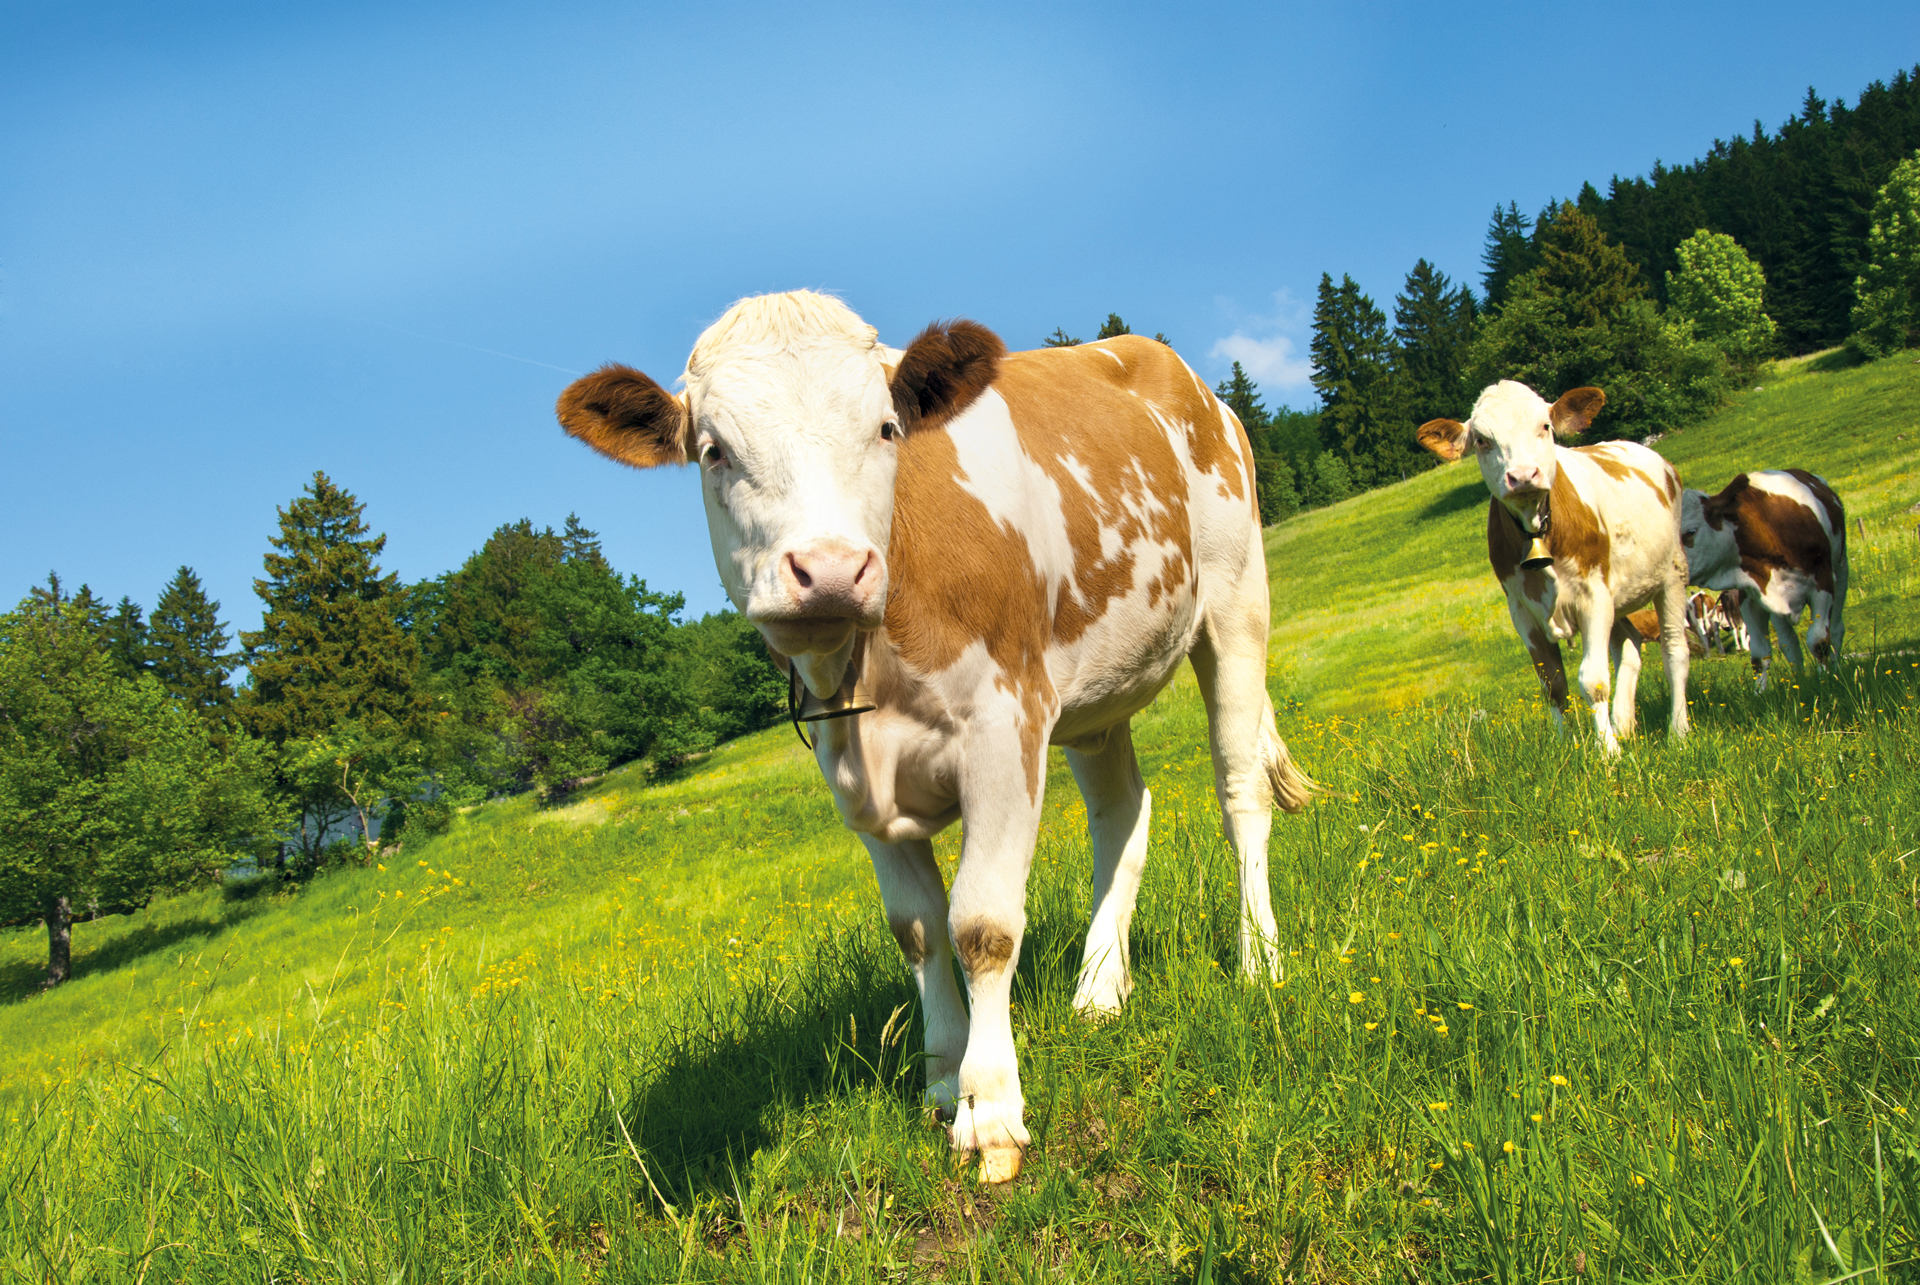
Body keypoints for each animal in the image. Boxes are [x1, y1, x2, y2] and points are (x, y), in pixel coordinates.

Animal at [555, 291, 1312, 1184]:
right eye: (713, 450)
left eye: (886, 427)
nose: (831, 571)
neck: (872, 672)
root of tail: (1174, 370)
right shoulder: (853, 781)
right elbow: (915, 928)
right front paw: (945, 1076)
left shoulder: (1005, 725)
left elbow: (981, 924)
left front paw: (991, 1111)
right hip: (1097, 690)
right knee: (1124, 812)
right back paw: (1098, 989)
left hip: (1235, 603)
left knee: (1240, 790)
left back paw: (1259, 960)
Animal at [1417, 381, 1690, 756]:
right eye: (1483, 441)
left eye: (1545, 426)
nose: (1522, 476)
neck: (1537, 527)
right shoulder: (1521, 610)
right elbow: (1552, 684)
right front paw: (1566, 745)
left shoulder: (1594, 595)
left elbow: (1593, 680)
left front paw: (1608, 753)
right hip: (1618, 595)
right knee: (1630, 646)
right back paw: (1623, 724)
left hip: (1671, 573)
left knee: (1675, 650)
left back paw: (1678, 731)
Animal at [1679, 470, 1848, 689]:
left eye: (1690, 531)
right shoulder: (1750, 598)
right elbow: (1759, 656)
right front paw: (1759, 693)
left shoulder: (1823, 583)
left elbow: (1819, 641)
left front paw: (1826, 681)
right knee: (1788, 642)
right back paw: (1800, 681)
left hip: (1841, 570)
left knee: (1836, 629)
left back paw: (1836, 670)